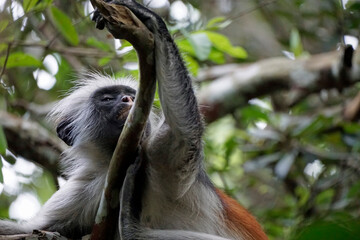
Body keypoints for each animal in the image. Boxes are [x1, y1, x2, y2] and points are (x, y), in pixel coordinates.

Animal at [0, 0, 268, 239]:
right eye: (108, 98)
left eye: (129, 94)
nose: (128, 100)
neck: (112, 164)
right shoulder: (82, 188)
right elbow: (31, 229)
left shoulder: (156, 155)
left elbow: (183, 132)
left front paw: (148, 17)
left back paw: (130, 225)